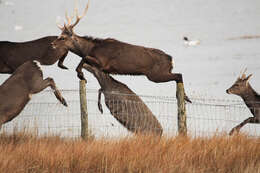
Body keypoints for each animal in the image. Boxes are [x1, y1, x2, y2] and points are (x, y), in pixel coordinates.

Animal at [51, 0, 191, 102]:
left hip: (156, 74)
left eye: (62, 37)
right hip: (159, 73)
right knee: (178, 75)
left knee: (179, 75)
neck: (91, 48)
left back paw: (185, 97)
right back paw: (185, 97)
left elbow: (83, 58)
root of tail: (170, 59)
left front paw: (81, 74)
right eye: (59, 35)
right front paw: (82, 75)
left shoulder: (103, 62)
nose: (52, 44)